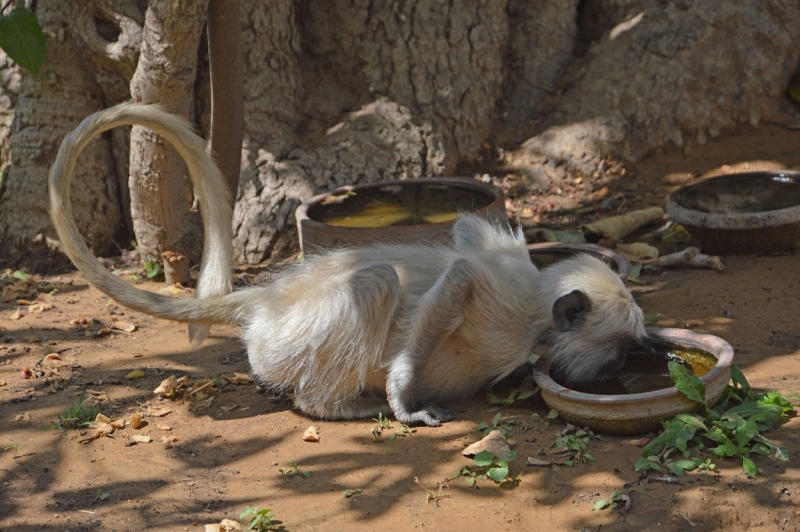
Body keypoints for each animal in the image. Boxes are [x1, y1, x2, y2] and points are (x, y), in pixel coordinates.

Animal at [48, 103, 648, 428]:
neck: (538, 317)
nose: (621, 369)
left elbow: (463, 234)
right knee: (378, 281)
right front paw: (403, 395)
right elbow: (459, 278)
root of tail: (268, 300)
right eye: (620, 350)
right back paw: (328, 405)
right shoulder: (510, 307)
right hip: (285, 344)